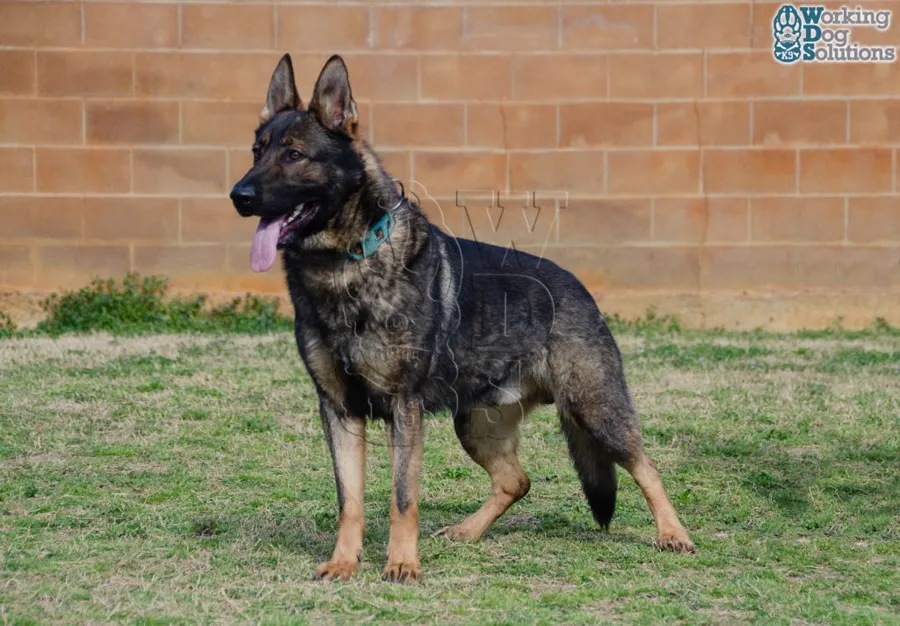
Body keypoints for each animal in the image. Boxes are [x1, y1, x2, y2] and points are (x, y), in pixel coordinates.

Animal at [229, 53, 695, 583]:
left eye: (293, 155)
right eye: (256, 151)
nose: (239, 196)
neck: (346, 262)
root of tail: (579, 288)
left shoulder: (402, 410)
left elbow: (402, 497)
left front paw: (402, 564)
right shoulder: (340, 411)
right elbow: (351, 500)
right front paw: (344, 562)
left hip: (594, 410)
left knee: (645, 465)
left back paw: (673, 534)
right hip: (475, 424)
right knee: (517, 480)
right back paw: (467, 531)